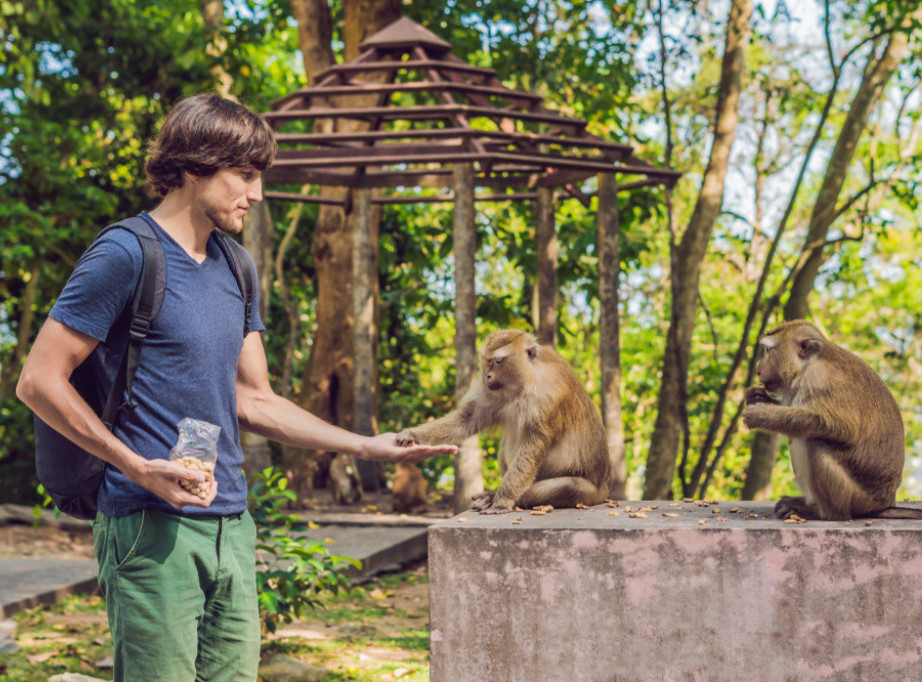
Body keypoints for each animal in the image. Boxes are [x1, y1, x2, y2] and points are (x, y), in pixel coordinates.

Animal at [396, 326, 612, 512]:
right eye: (488, 361)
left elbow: (535, 444)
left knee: (569, 487)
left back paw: (496, 497)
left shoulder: (549, 396)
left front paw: (502, 501)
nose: (488, 376)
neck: (527, 379)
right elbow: (469, 419)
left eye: (498, 361)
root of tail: (605, 487)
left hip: (588, 494)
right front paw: (412, 434)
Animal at [740, 322, 920, 516]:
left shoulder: (820, 380)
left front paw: (759, 415)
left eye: (768, 351)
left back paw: (820, 512)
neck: (808, 364)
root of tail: (884, 503)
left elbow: (843, 427)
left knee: (815, 442)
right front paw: (757, 397)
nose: (758, 369)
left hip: (858, 499)